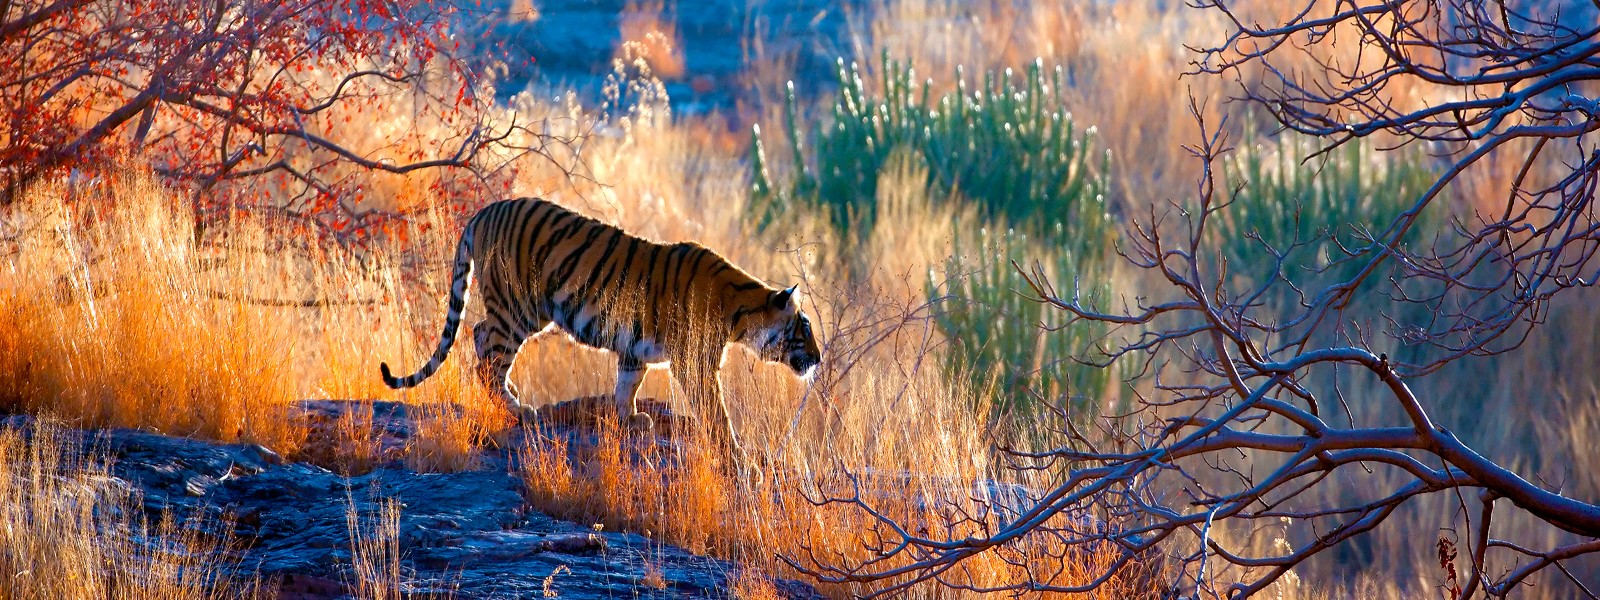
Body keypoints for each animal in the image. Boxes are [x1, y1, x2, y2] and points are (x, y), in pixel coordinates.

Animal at [379, 196, 819, 454]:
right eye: (805, 329)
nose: (817, 358)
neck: (741, 314)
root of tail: (484, 212)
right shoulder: (696, 365)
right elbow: (717, 413)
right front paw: (740, 457)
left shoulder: (635, 351)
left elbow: (627, 386)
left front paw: (631, 420)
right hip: (517, 307)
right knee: (487, 350)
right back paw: (517, 407)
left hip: (522, 310)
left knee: (478, 337)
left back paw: (512, 395)